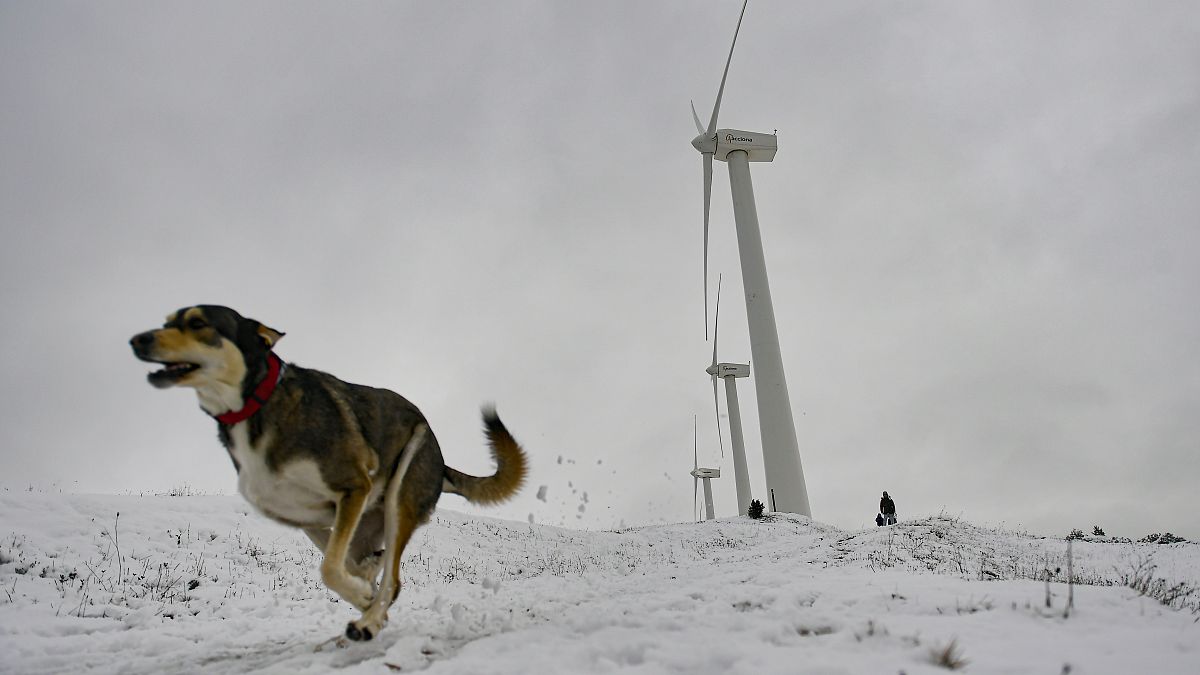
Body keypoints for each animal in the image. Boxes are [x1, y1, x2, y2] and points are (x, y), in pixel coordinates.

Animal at [129, 307, 528, 638]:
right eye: (167, 321)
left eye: (198, 322)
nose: (138, 340)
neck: (258, 403)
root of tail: (442, 464)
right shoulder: (304, 513)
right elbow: (337, 563)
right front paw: (363, 590)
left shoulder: (353, 487)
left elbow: (330, 570)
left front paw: (365, 599)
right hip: (357, 522)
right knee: (370, 563)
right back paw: (370, 592)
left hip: (402, 489)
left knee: (392, 579)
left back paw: (368, 619)